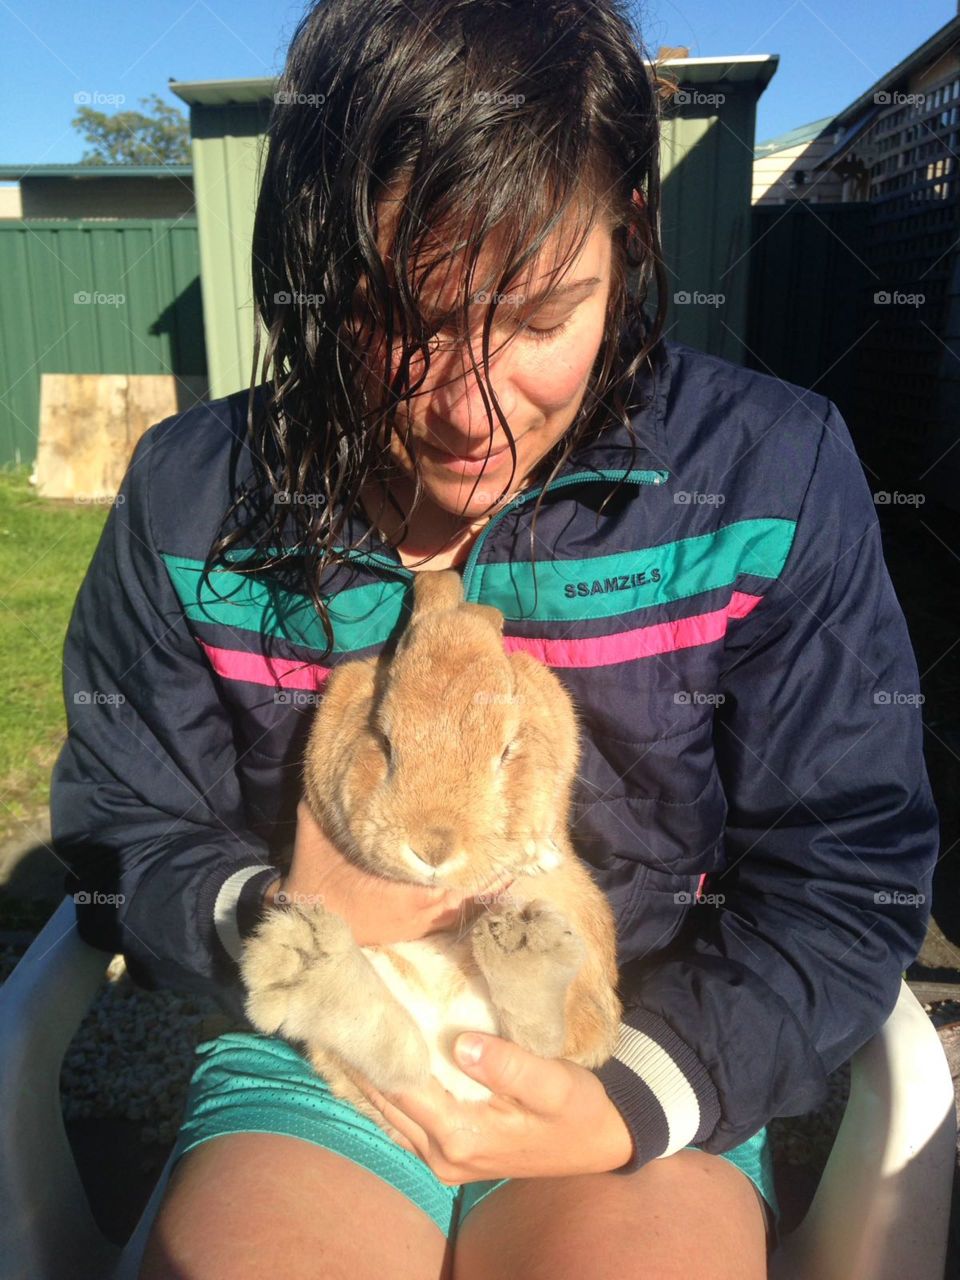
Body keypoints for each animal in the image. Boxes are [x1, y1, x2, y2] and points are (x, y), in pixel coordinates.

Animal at [239, 568, 623, 1144]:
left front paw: (534, 850)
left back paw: (523, 950)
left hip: (581, 924)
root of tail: (457, 1069)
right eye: (383, 741)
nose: (433, 848)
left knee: (555, 1038)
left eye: (507, 750)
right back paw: (305, 965)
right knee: (396, 1056)